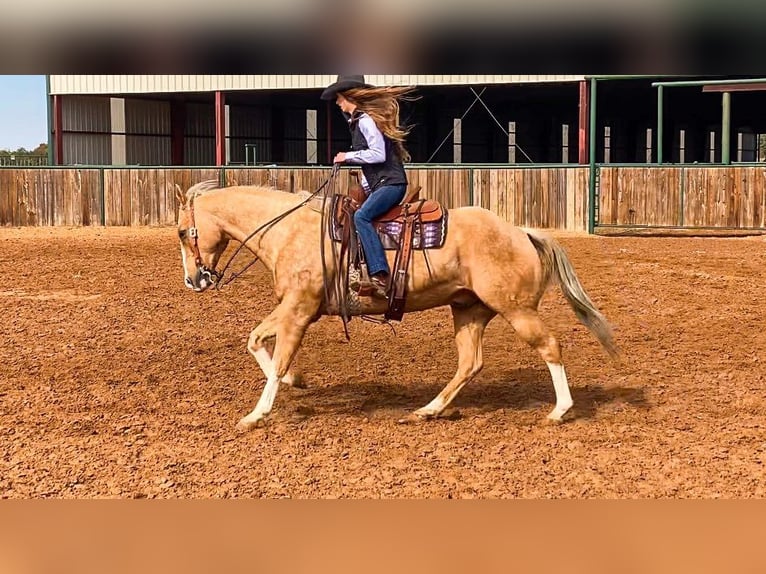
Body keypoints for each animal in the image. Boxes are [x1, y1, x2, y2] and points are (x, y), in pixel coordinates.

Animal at [176, 180, 616, 432]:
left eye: (183, 232)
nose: (194, 280)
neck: (289, 230)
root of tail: (520, 231)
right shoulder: (294, 309)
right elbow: (255, 342)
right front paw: (294, 383)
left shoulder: (298, 310)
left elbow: (277, 357)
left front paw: (257, 414)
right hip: (469, 311)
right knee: (469, 363)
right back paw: (427, 410)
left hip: (517, 310)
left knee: (550, 347)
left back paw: (560, 411)